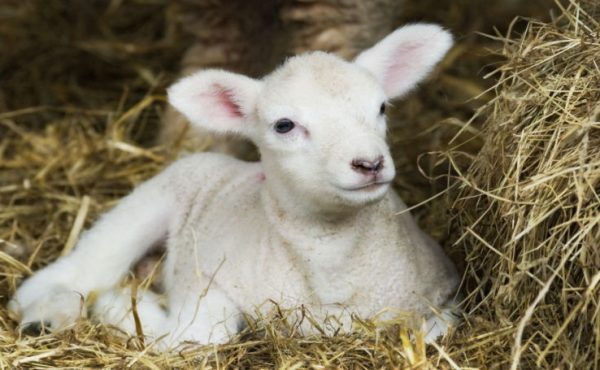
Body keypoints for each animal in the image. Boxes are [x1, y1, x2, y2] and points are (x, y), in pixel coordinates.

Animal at [7, 23, 460, 350]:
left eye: (381, 107)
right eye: (284, 125)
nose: (369, 163)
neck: (332, 267)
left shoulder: (445, 290)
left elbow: (438, 329)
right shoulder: (208, 280)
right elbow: (202, 335)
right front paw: (122, 307)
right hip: (149, 203)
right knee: (73, 272)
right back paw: (46, 315)